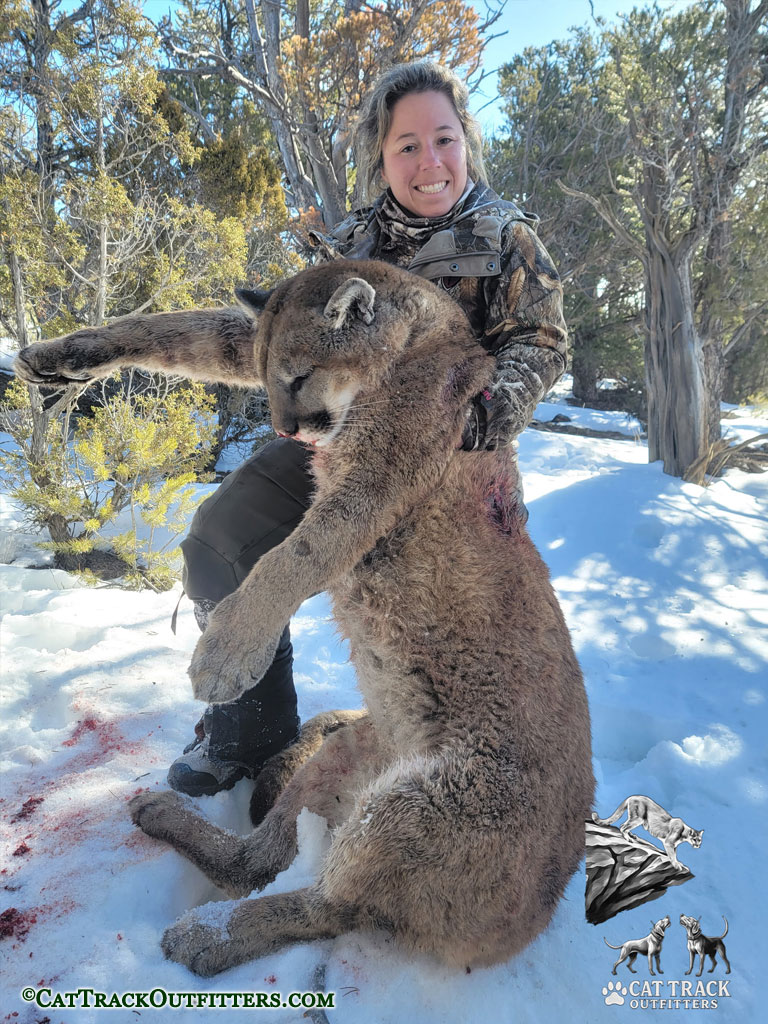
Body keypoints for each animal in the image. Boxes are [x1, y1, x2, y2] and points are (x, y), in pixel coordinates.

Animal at [14, 259, 594, 976]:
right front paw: (57, 359)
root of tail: (546, 906)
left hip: (426, 807)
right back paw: (182, 821)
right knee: (260, 857)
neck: (417, 341)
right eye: (269, 379)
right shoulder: (254, 351)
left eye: (298, 377)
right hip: (351, 757)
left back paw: (205, 933)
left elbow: (293, 558)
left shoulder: (374, 481)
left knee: (323, 903)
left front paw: (226, 655)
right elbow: (184, 332)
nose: (288, 430)